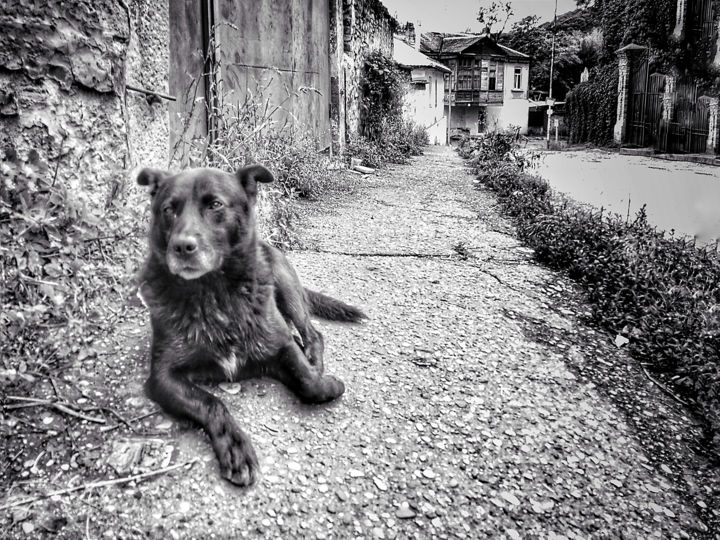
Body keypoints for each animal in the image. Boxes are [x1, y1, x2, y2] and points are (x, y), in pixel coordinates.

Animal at [136, 163, 366, 486]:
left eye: (215, 205)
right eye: (169, 209)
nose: (181, 247)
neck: (214, 293)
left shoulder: (280, 343)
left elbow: (308, 381)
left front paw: (322, 382)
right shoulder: (162, 377)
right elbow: (211, 403)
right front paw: (235, 447)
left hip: (285, 287)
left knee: (312, 333)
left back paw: (313, 358)